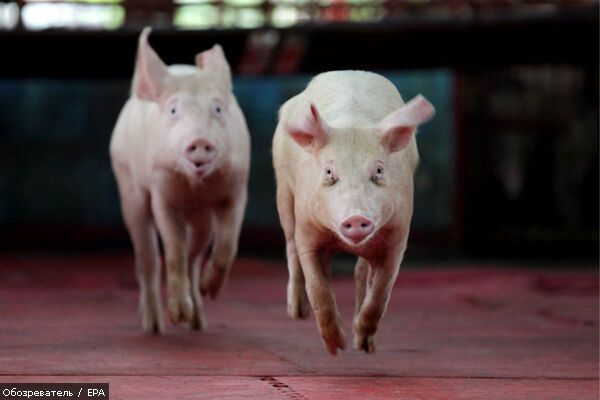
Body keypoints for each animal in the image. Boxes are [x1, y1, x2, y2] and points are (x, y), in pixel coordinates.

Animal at [110, 28, 251, 334]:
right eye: (174, 111)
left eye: (217, 109)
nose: (199, 141)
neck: (195, 187)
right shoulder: (162, 192)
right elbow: (173, 249)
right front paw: (177, 316)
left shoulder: (236, 188)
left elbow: (228, 243)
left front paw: (210, 292)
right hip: (129, 188)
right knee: (148, 258)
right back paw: (154, 326)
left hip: (202, 219)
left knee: (194, 256)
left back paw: (198, 321)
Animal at [274, 70, 436, 354]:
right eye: (329, 172)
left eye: (379, 171)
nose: (357, 218)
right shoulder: (307, 228)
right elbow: (317, 286)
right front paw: (336, 347)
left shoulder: (398, 234)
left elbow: (381, 293)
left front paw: (360, 342)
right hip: (283, 188)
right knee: (291, 246)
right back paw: (297, 312)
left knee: (360, 273)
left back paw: (363, 345)